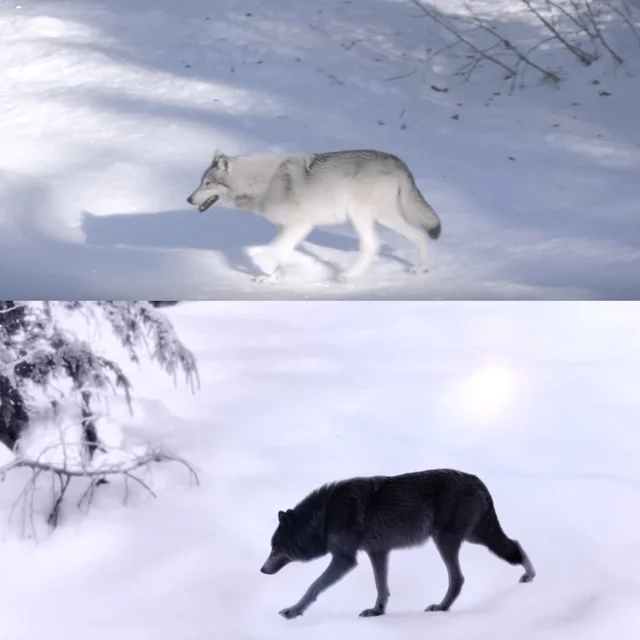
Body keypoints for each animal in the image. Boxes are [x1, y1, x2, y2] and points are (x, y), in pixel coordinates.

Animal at [186, 149, 442, 283]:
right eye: (200, 182)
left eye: (207, 183)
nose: (188, 199)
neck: (261, 184)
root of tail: (399, 161)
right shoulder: (286, 228)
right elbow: (281, 252)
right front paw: (274, 277)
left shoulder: (301, 224)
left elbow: (278, 251)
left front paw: (278, 274)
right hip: (386, 217)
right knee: (419, 235)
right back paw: (422, 270)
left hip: (360, 216)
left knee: (373, 245)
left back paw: (347, 276)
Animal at [260, 469, 535, 619]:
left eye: (275, 548)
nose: (262, 570)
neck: (324, 516)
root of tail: (478, 480)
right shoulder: (378, 552)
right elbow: (381, 587)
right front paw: (377, 611)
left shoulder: (344, 559)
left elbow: (313, 586)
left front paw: (293, 611)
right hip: (474, 536)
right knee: (514, 544)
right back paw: (529, 575)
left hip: (447, 540)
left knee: (458, 578)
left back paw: (442, 607)